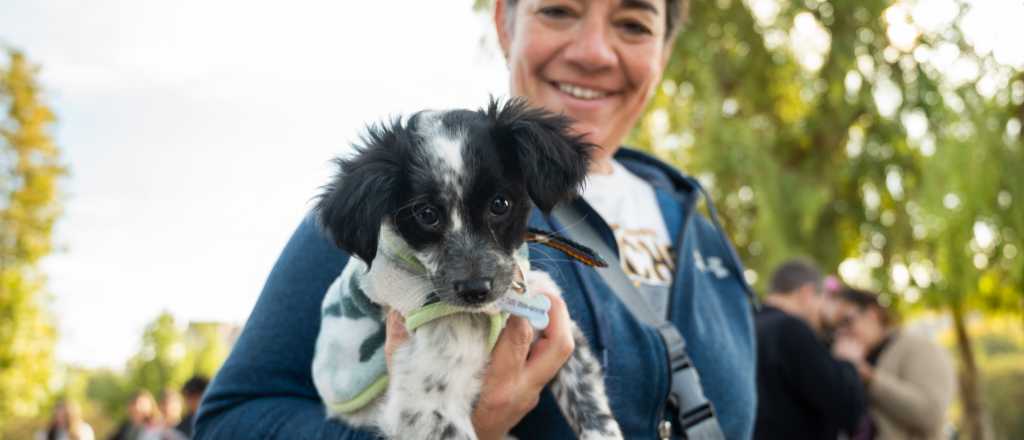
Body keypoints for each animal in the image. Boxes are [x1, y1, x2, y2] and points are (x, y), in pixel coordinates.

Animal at [311, 99, 618, 440]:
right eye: (426, 214)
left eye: (500, 204)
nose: (475, 290)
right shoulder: (423, 406)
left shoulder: (563, 334)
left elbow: (594, 411)